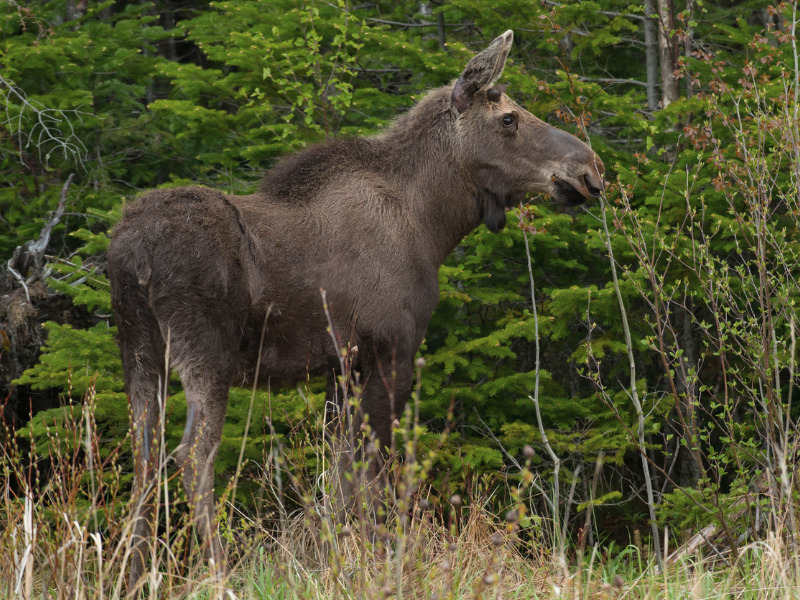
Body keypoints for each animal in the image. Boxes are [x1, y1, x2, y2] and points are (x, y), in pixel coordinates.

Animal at [107, 30, 605, 592]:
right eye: (508, 119)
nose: (591, 169)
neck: (433, 224)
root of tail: (131, 253)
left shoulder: (339, 366)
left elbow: (337, 479)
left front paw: (330, 562)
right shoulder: (390, 351)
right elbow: (373, 477)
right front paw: (381, 565)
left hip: (139, 350)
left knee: (144, 455)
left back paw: (132, 577)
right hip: (207, 353)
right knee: (191, 455)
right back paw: (218, 575)